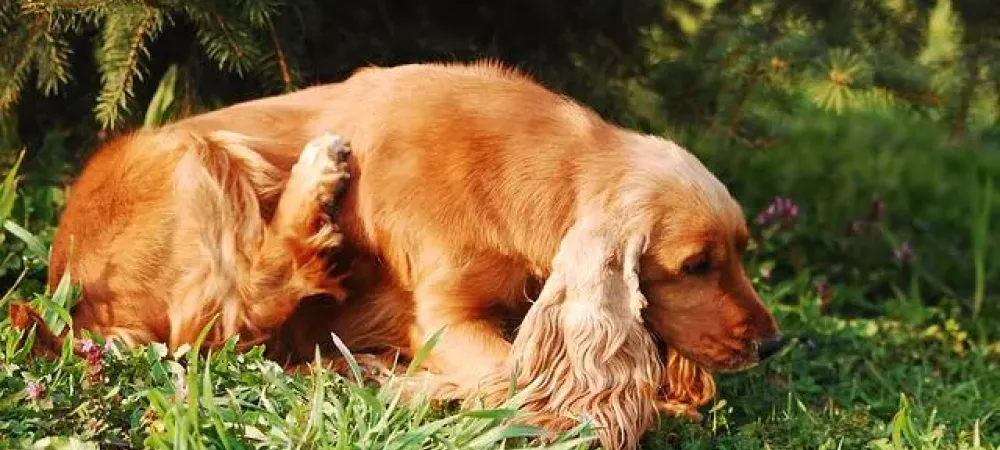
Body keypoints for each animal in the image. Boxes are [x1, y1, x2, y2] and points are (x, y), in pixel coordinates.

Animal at [11, 60, 784, 450]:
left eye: (740, 252)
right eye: (695, 265)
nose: (772, 344)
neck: (538, 170)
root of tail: (68, 286)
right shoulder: (443, 315)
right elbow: (515, 381)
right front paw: (418, 387)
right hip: (197, 157)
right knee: (230, 314)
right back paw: (318, 179)